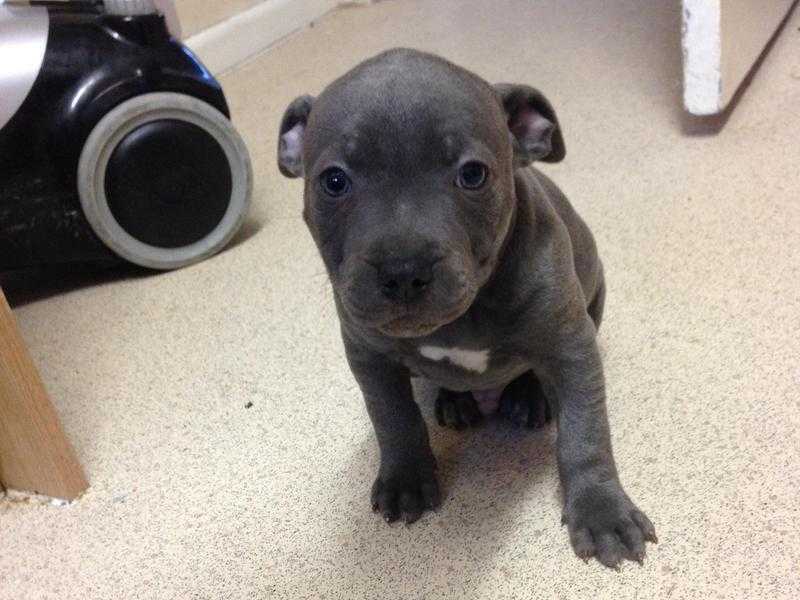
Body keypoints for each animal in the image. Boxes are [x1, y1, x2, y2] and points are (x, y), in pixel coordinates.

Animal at [278, 48, 652, 568]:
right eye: (334, 181)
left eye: (473, 174)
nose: (403, 268)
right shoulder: (369, 358)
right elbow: (393, 419)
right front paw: (407, 479)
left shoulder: (571, 348)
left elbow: (585, 433)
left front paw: (602, 512)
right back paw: (454, 400)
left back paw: (528, 397)